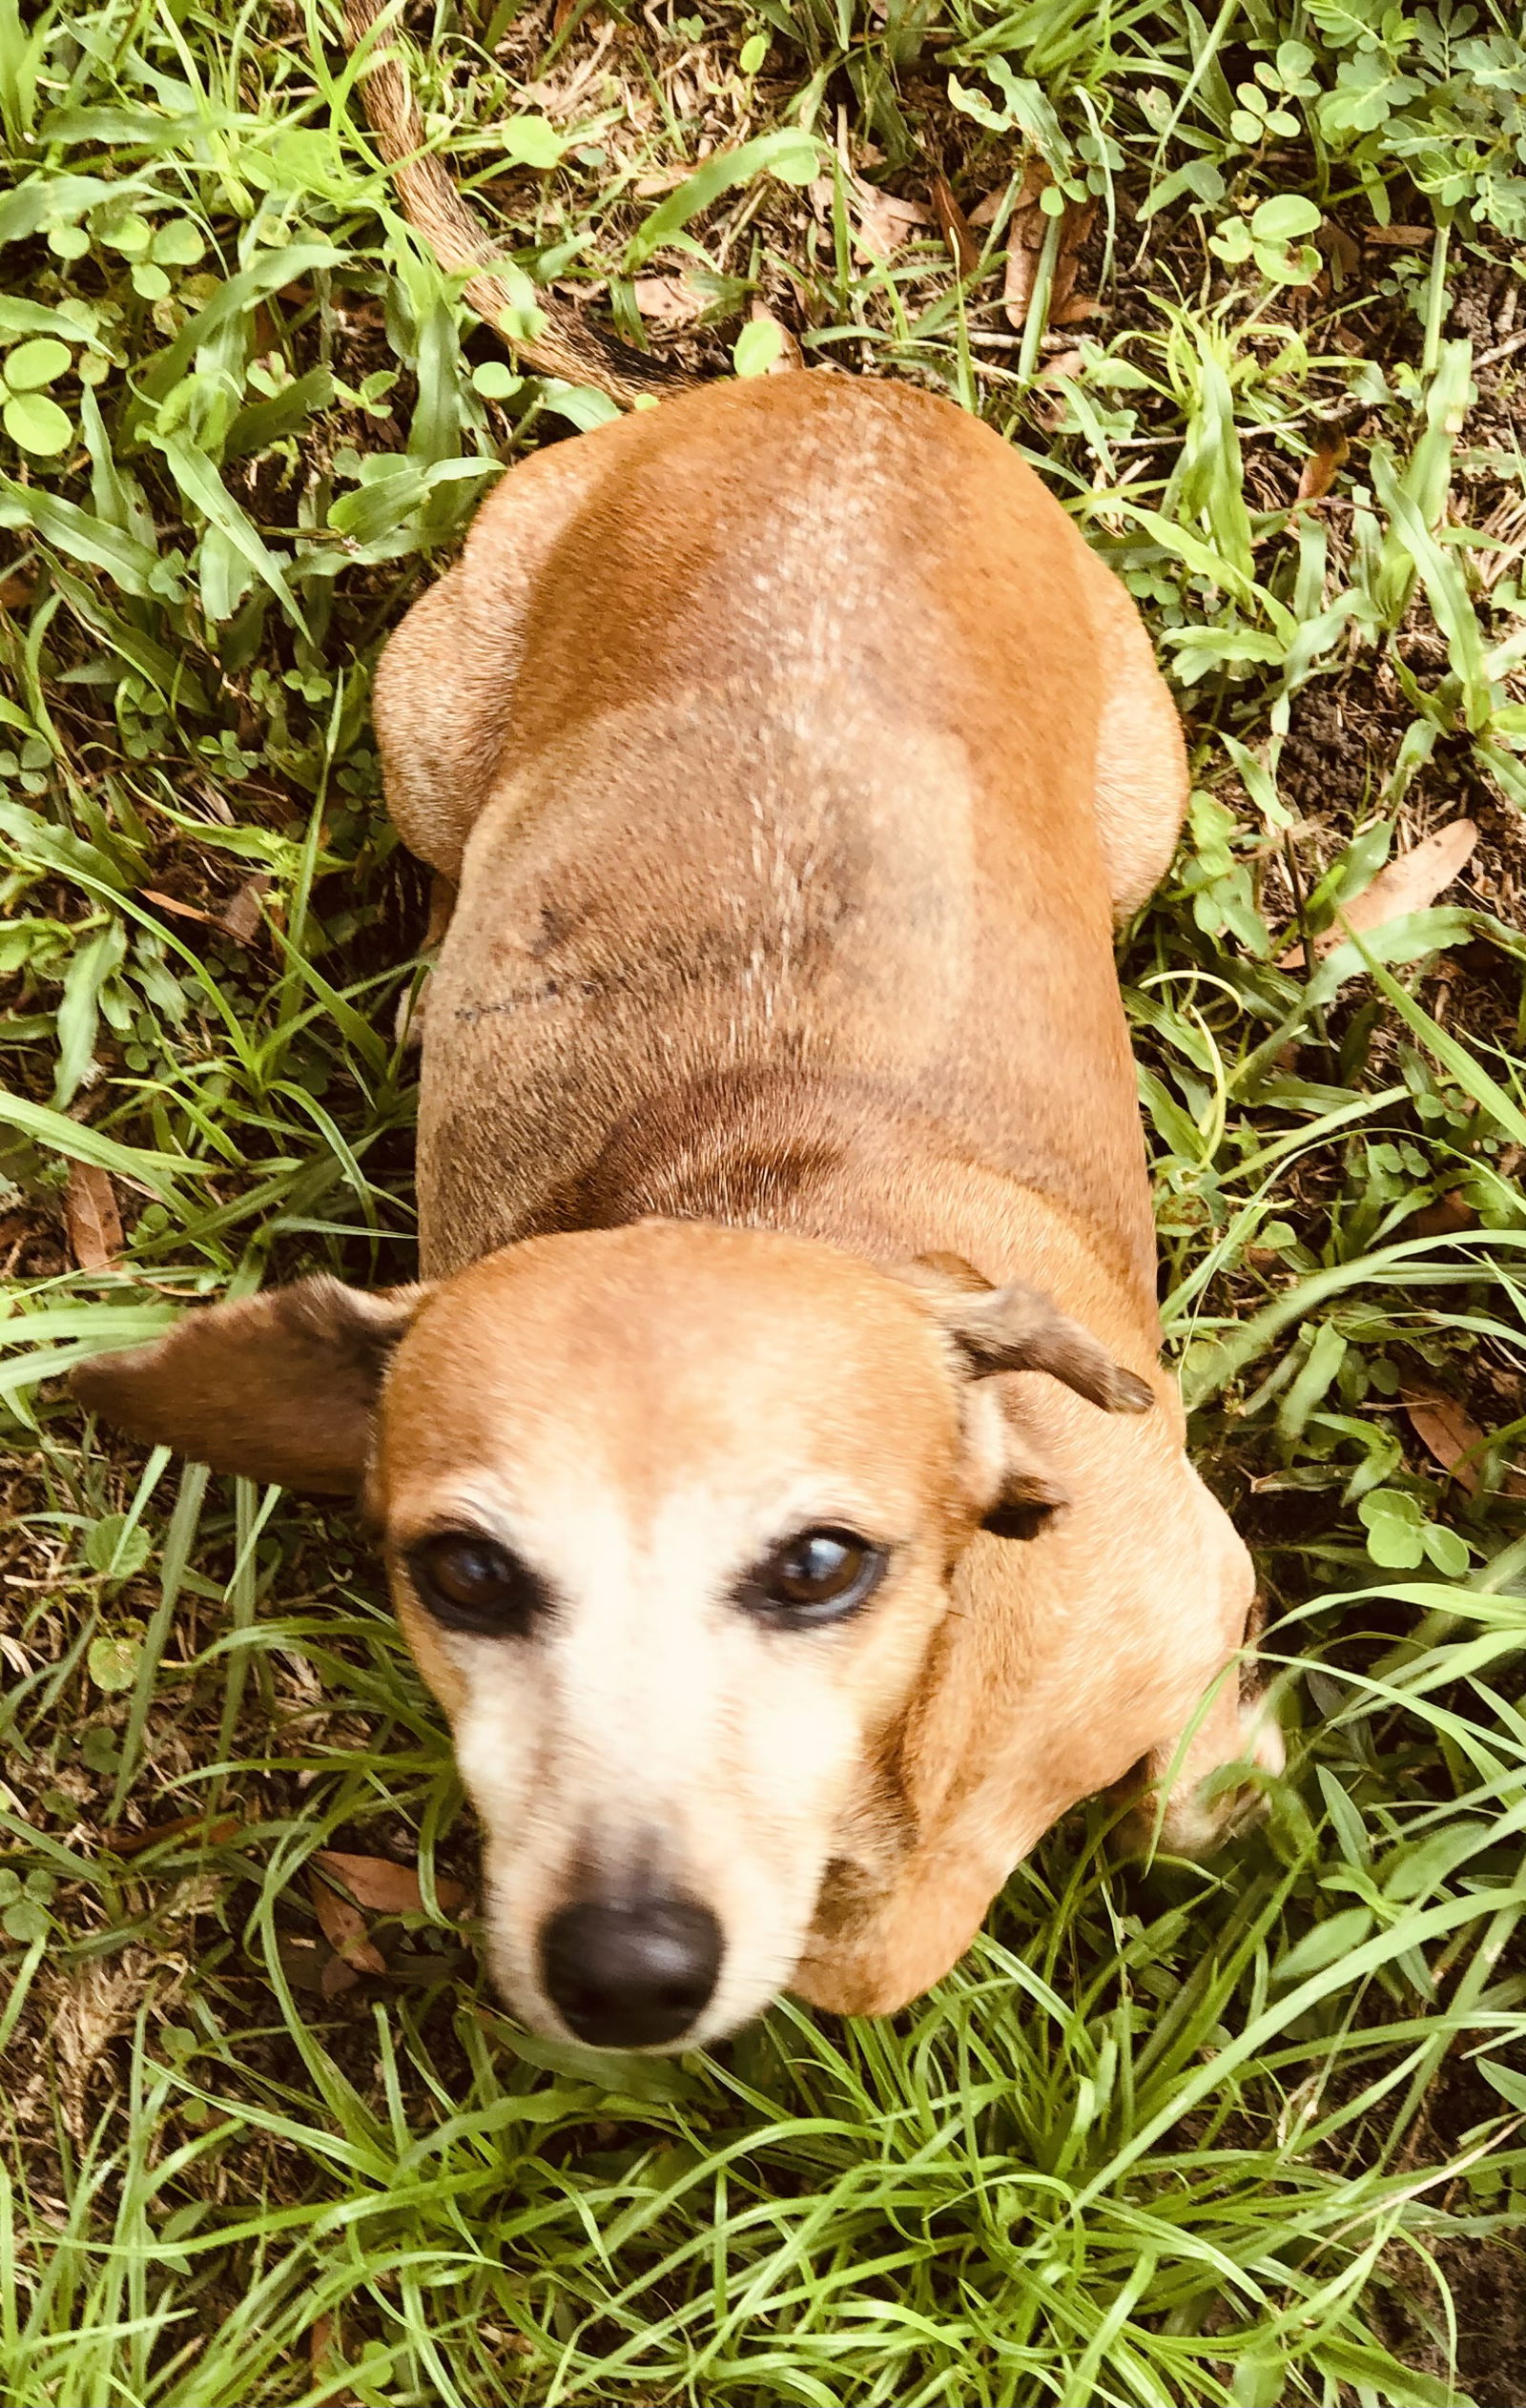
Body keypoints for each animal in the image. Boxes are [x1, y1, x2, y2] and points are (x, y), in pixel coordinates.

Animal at [76, 370, 1280, 2051]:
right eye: (464, 1574)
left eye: (822, 1564)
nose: (625, 1969)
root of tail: (841, 393)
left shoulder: (1185, 1585)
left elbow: (1173, 1779)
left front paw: (1220, 1775)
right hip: (432, 732)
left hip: (1140, 813)